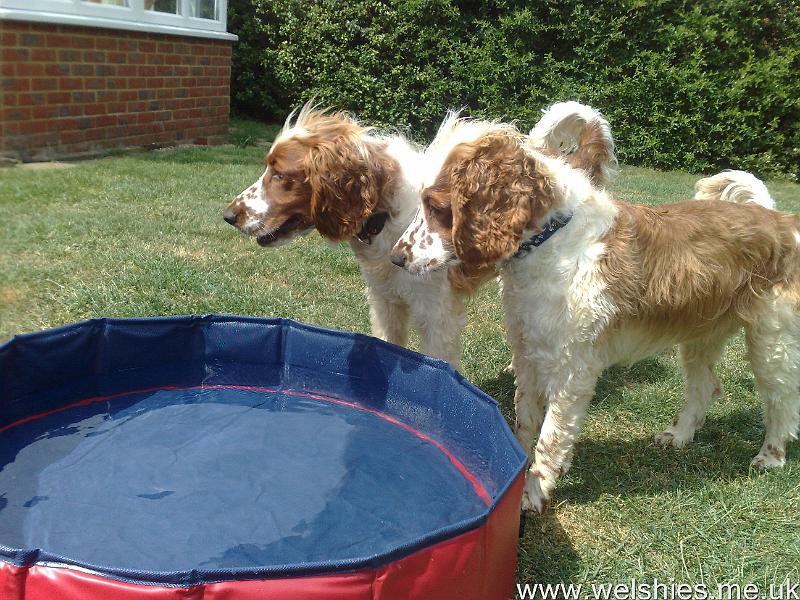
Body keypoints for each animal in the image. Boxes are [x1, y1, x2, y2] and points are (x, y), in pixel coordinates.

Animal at [390, 124, 796, 512]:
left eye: (436, 206)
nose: (396, 258)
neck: (552, 243)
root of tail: (779, 219)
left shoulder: (572, 371)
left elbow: (550, 438)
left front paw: (530, 495)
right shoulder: (528, 352)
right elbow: (524, 423)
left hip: (772, 342)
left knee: (782, 401)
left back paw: (770, 456)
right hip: (701, 335)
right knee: (705, 386)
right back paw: (679, 435)